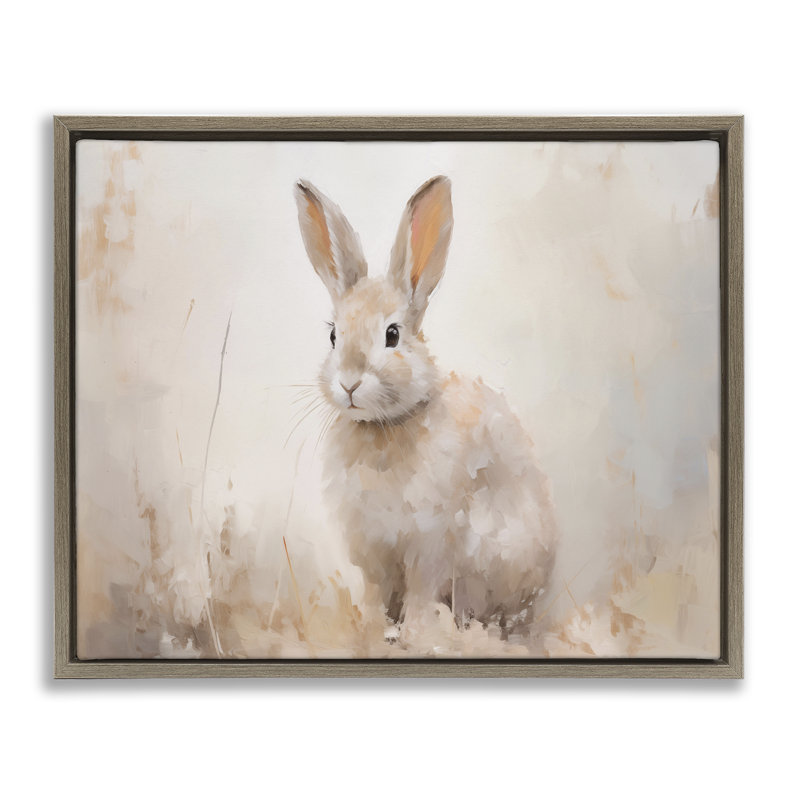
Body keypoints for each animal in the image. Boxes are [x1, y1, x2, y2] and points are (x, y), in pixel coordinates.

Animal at [293, 175, 557, 638]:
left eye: (392, 335)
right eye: (333, 336)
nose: (348, 383)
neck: (384, 427)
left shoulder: (430, 541)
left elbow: (420, 589)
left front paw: (417, 632)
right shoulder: (372, 551)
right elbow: (376, 594)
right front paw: (370, 629)